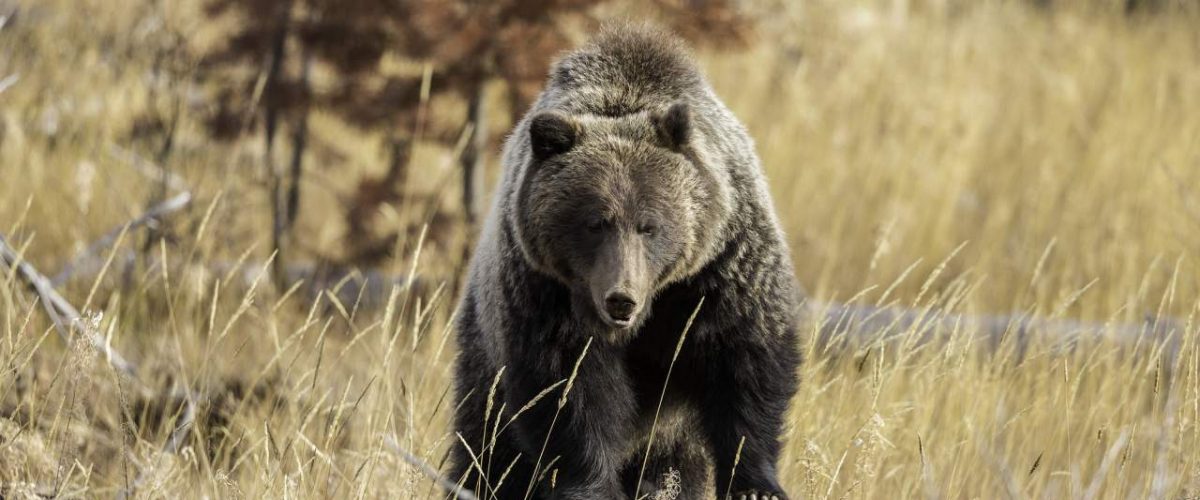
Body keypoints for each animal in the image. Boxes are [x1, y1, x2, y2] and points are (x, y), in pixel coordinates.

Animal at [448, 24, 796, 498]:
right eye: (595, 222)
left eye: (649, 225)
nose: (620, 299)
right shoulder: (545, 292)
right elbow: (569, 394)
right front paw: (591, 485)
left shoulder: (723, 270)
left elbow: (746, 368)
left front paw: (755, 485)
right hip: (484, 352)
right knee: (488, 442)